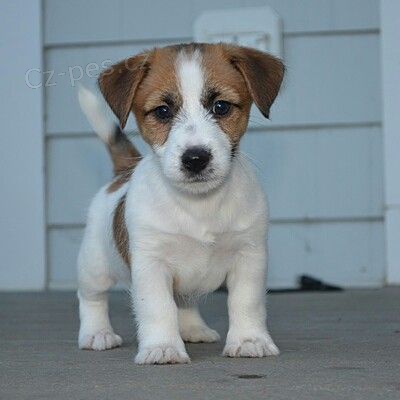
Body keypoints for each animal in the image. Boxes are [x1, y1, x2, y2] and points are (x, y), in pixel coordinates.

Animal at [76, 42, 284, 364]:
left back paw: (193, 328)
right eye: (162, 111)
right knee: (91, 297)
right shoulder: (151, 264)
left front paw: (249, 340)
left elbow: (246, 302)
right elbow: (158, 308)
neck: (199, 204)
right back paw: (97, 333)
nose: (196, 158)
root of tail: (122, 173)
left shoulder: (249, 256)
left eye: (221, 107)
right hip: (94, 266)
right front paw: (162, 347)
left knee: (183, 302)